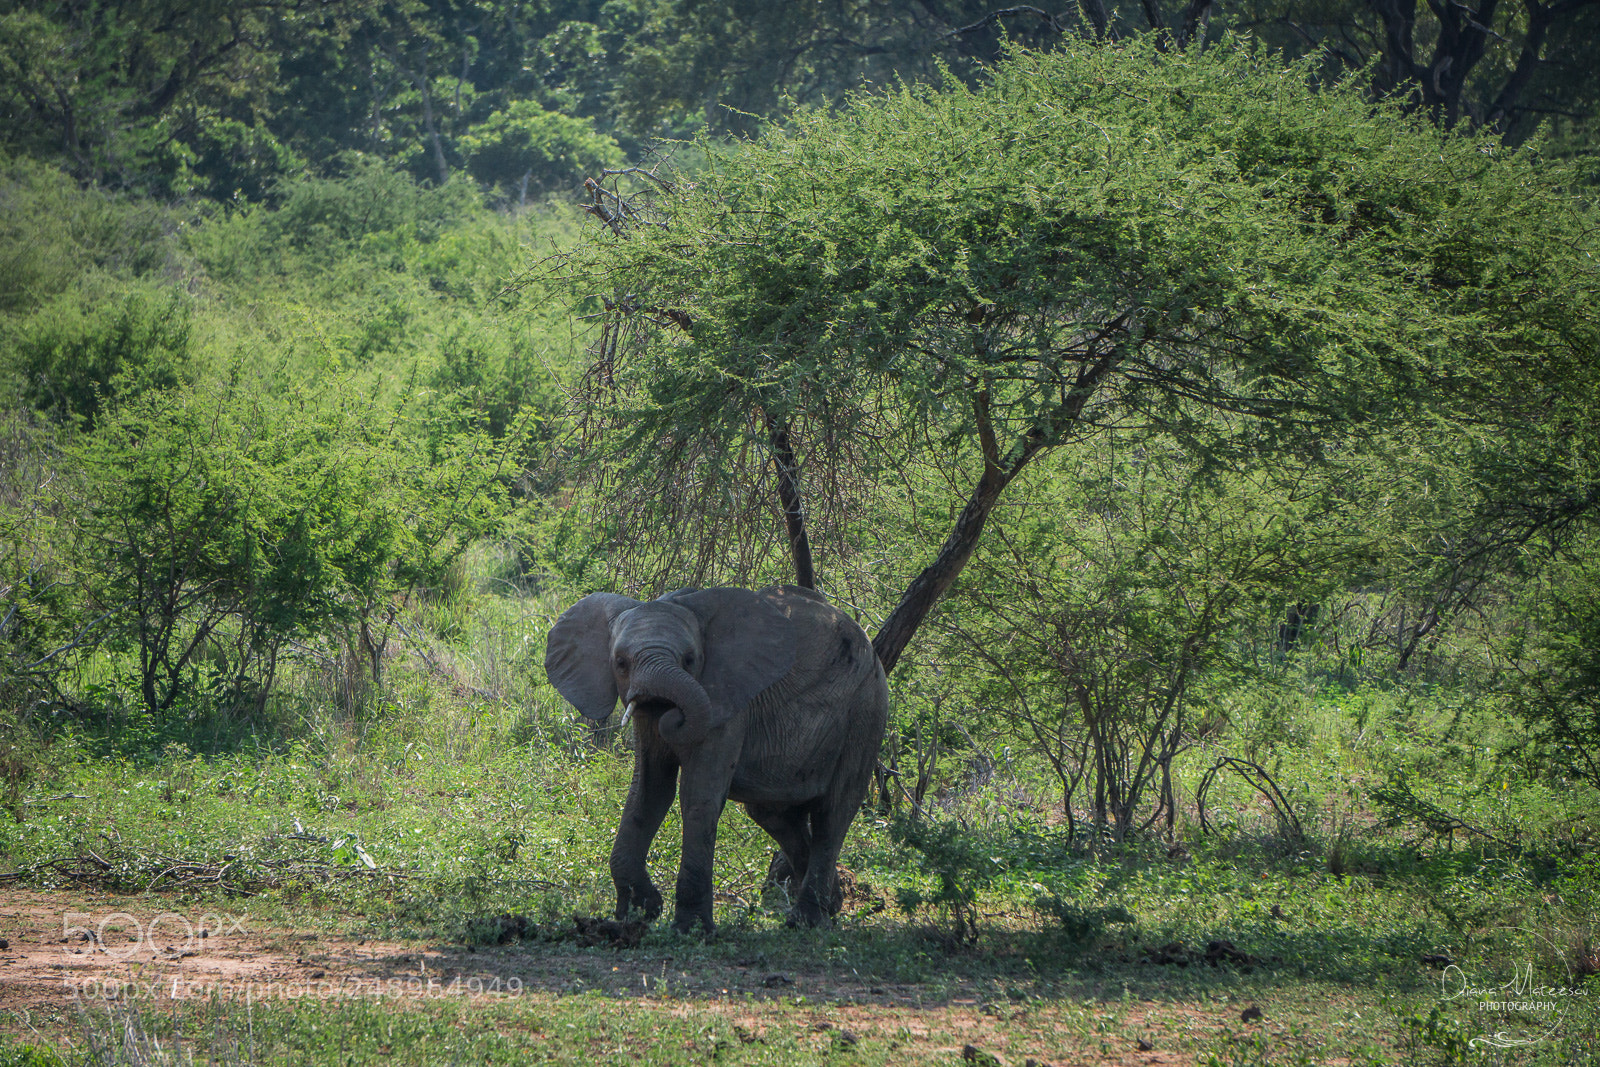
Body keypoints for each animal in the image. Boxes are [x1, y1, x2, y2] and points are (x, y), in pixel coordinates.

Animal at [544, 584, 889, 935]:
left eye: (690, 659)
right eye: (620, 662)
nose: (668, 713)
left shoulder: (727, 704)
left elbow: (697, 795)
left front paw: (691, 929)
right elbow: (648, 792)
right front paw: (641, 913)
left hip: (866, 711)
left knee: (832, 813)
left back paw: (806, 921)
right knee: (773, 815)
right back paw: (832, 905)